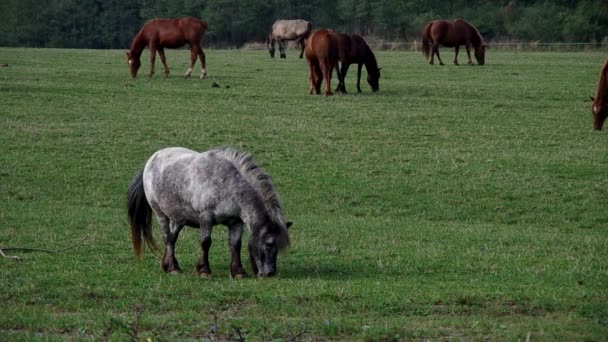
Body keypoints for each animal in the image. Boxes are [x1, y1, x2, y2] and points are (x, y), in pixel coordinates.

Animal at [127, 147, 290, 278]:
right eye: (269, 244)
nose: (270, 273)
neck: (228, 183)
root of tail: (151, 161)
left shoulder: (236, 222)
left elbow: (236, 244)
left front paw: (238, 272)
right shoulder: (206, 217)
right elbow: (205, 242)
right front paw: (204, 270)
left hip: (178, 218)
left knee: (172, 239)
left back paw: (168, 265)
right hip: (160, 214)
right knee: (167, 238)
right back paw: (172, 268)